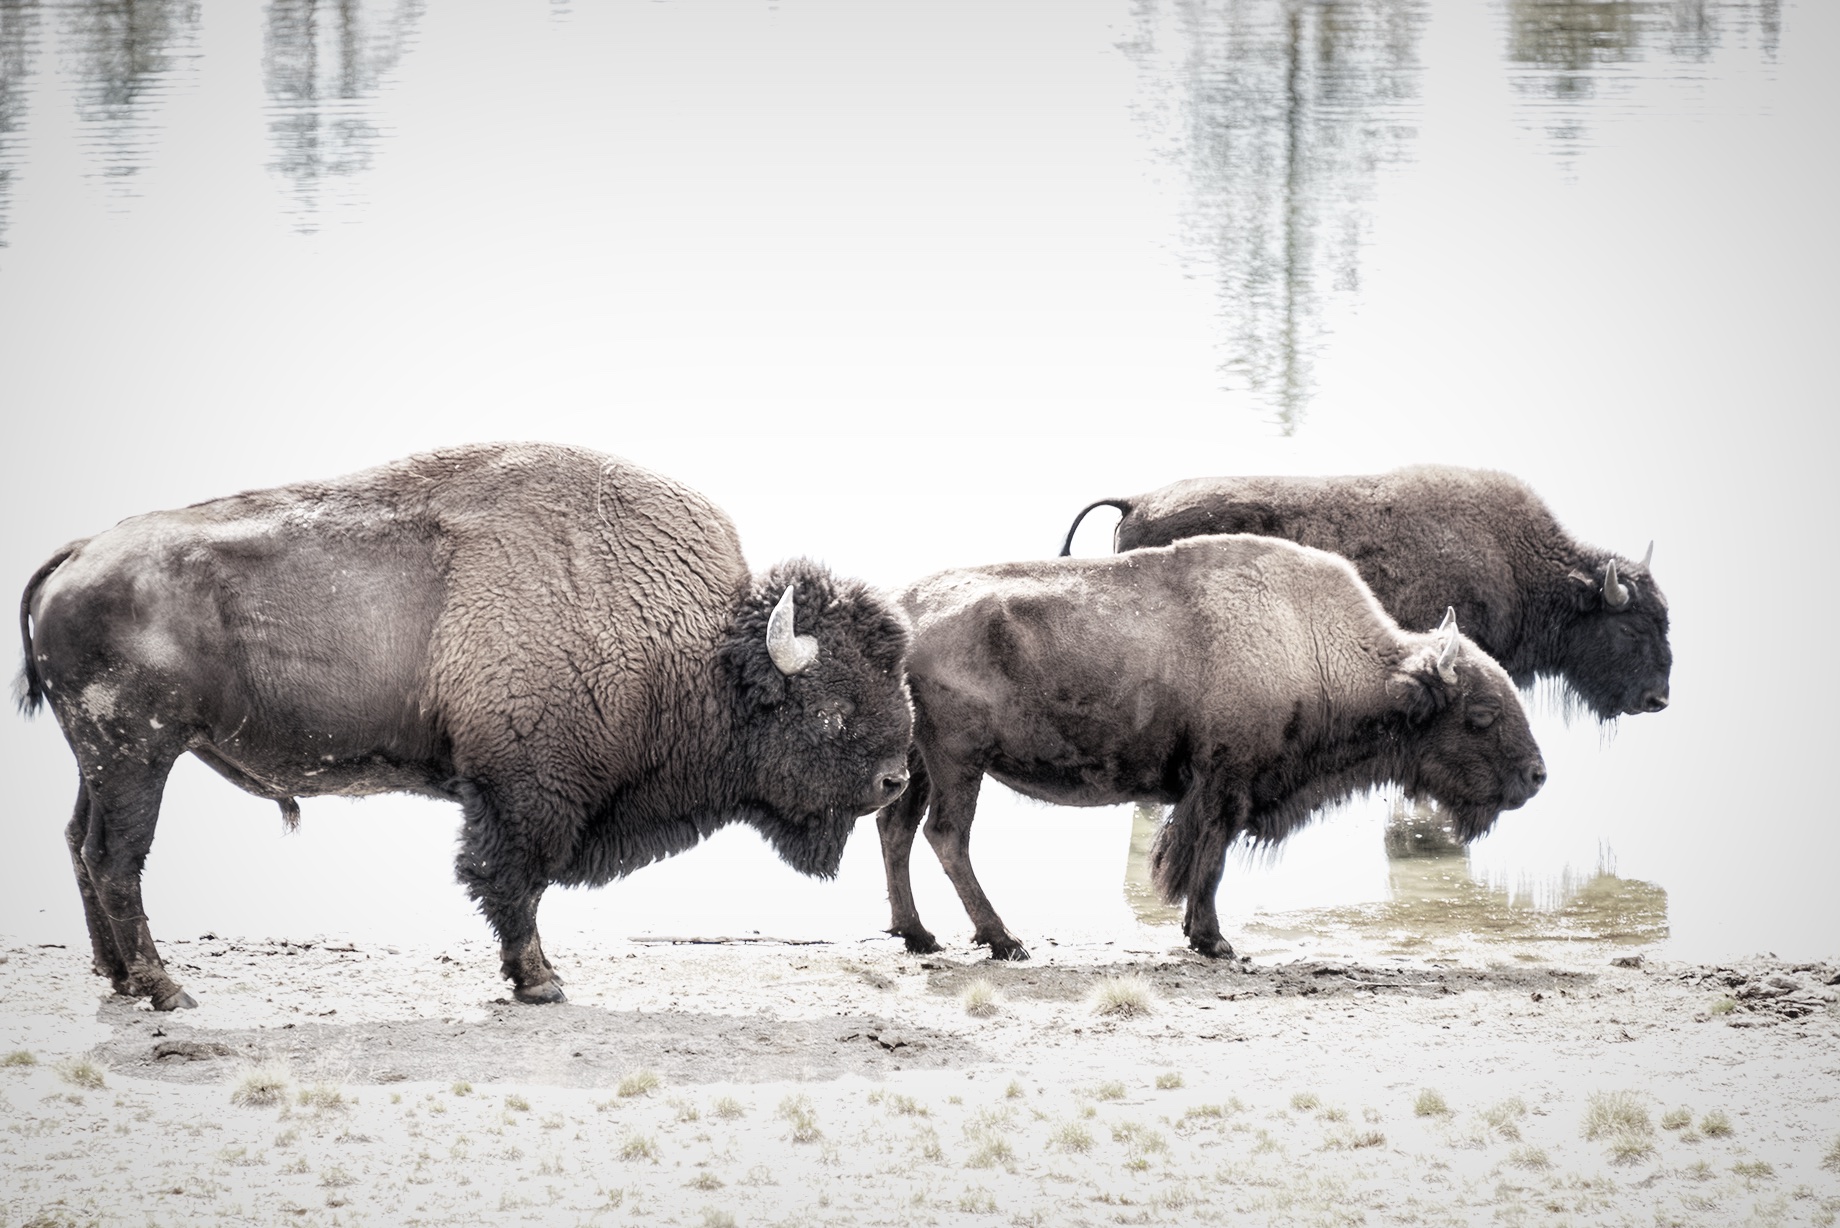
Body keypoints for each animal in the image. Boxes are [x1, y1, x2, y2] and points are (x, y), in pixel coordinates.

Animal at [18, 443, 914, 1008]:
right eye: (832, 710)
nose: (895, 777)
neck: (697, 647)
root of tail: (80, 553)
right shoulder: (524, 793)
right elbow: (512, 882)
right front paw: (541, 982)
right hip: (138, 754)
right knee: (117, 858)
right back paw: (168, 990)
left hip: (106, 761)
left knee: (81, 846)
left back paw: (121, 979)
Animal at [877, 534, 1545, 959]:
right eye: (1481, 715)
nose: (1537, 776)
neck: (1310, 644)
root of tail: (905, 610)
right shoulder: (1227, 784)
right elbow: (1210, 861)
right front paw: (1215, 940)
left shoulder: (1216, 789)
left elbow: (1202, 858)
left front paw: (1199, 934)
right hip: (959, 763)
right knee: (946, 836)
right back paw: (1003, 941)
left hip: (920, 765)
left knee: (897, 830)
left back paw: (918, 935)